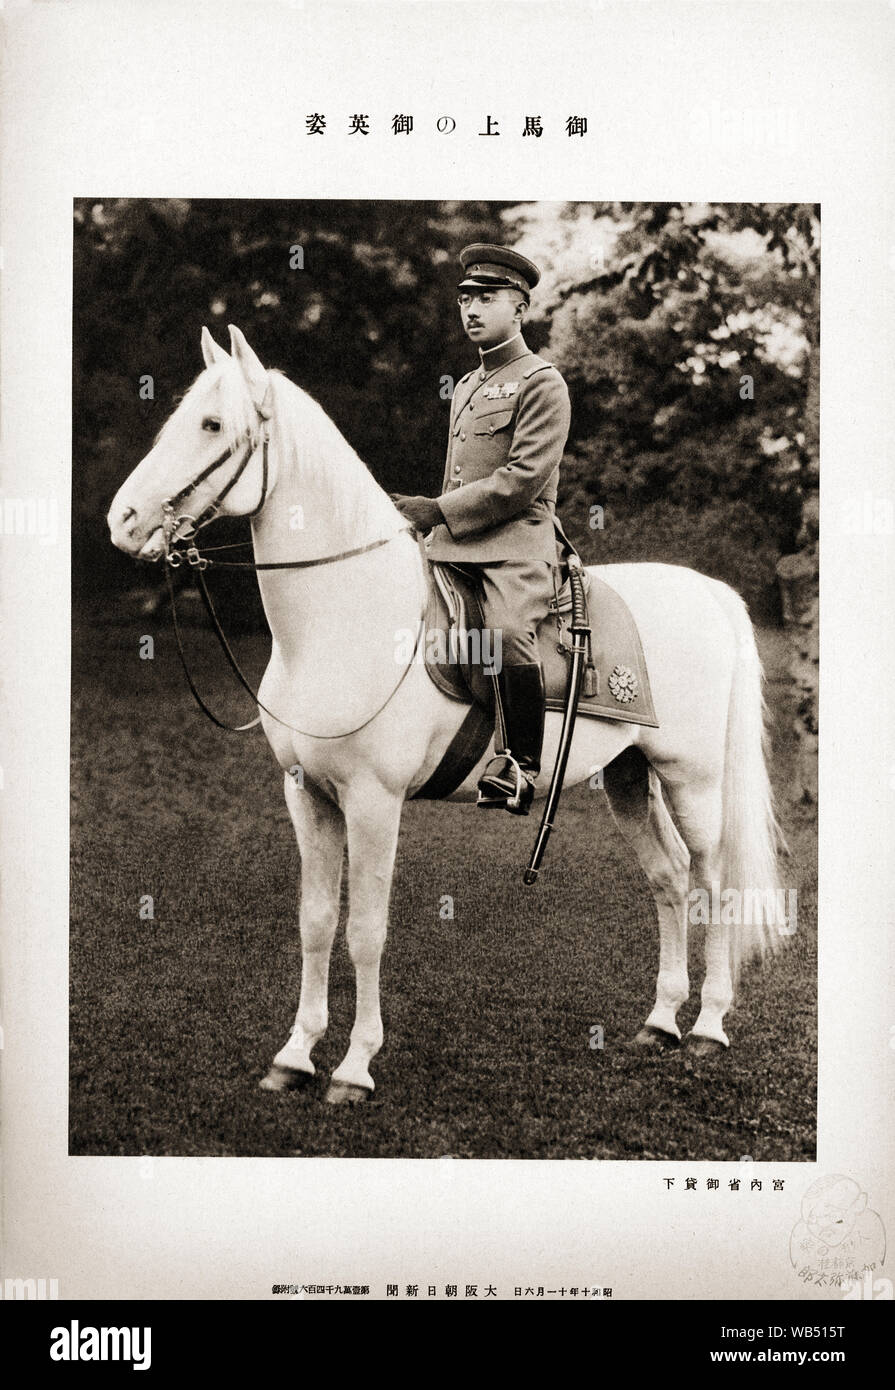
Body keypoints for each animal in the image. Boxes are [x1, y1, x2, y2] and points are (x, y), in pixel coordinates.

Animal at [108, 325, 789, 1106]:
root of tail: (706, 589)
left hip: (692, 779)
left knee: (714, 882)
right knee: (669, 879)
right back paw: (659, 1021)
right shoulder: (307, 796)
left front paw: (354, 1067)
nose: (122, 521)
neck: (346, 613)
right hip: (627, 776)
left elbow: (365, 930)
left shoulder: (373, 803)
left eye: (213, 426)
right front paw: (295, 1054)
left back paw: (707, 1025)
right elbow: (315, 923)